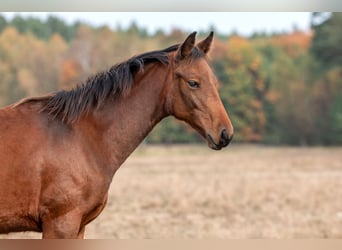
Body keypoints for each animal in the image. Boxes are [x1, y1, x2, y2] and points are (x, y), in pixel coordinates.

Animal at [0, 31, 232, 238]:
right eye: (193, 82)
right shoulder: (60, 224)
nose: (225, 133)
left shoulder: (78, 228)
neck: (81, 137)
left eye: (215, 82)